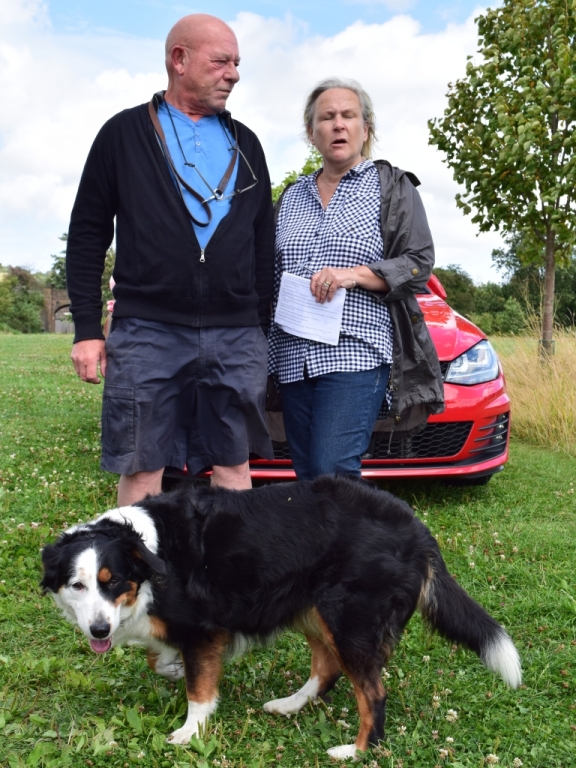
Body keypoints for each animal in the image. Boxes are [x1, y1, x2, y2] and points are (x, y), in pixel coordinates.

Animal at [40, 476, 520, 760]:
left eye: (114, 581)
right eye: (77, 585)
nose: (98, 630)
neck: (150, 555)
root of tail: (418, 531)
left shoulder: (203, 628)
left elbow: (199, 688)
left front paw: (191, 730)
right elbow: (159, 658)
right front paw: (171, 668)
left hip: (349, 617)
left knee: (372, 693)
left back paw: (356, 750)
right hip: (314, 607)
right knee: (327, 669)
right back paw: (289, 704)